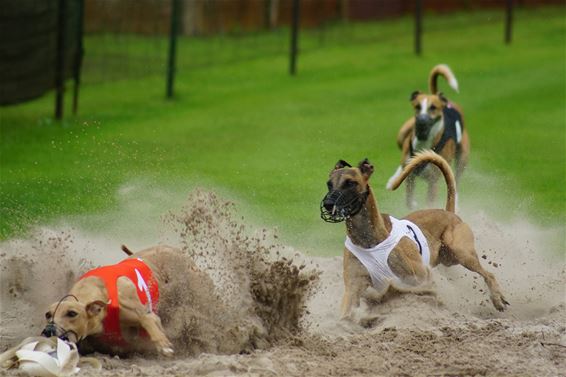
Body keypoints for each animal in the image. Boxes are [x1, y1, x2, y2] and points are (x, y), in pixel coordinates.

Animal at [390, 65, 470, 210]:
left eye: (433, 107)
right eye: (417, 106)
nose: (421, 120)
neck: (424, 141)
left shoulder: (433, 182)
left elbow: (430, 201)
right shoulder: (410, 177)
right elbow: (408, 199)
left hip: (463, 158)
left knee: (457, 178)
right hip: (402, 134)